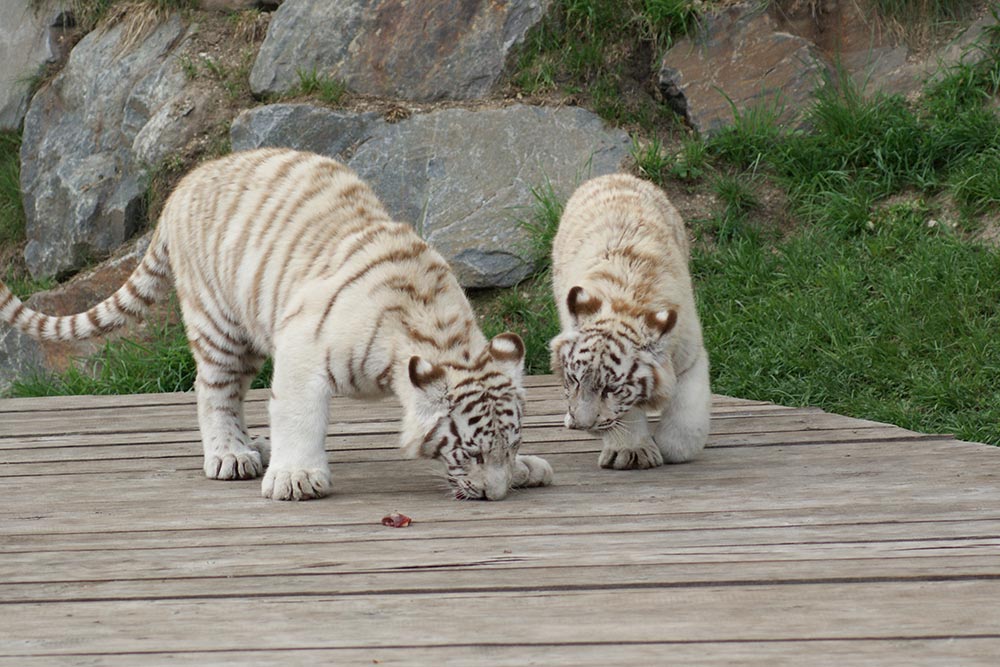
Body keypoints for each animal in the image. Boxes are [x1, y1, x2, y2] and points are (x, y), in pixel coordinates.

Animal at [0, 146, 556, 500]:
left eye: (510, 446)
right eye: (472, 454)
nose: (496, 495)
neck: (439, 330)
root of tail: (185, 183)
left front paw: (526, 469)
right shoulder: (305, 349)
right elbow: (298, 415)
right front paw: (297, 478)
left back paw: (254, 445)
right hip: (219, 323)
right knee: (213, 391)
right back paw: (231, 455)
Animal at [548, 175, 712, 472]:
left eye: (611, 389)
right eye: (575, 379)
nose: (584, 425)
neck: (626, 304)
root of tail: (616, 176)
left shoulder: (690, 355)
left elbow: (687, 415)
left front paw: (671, 447)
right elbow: (627, 414)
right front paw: (631, 452)